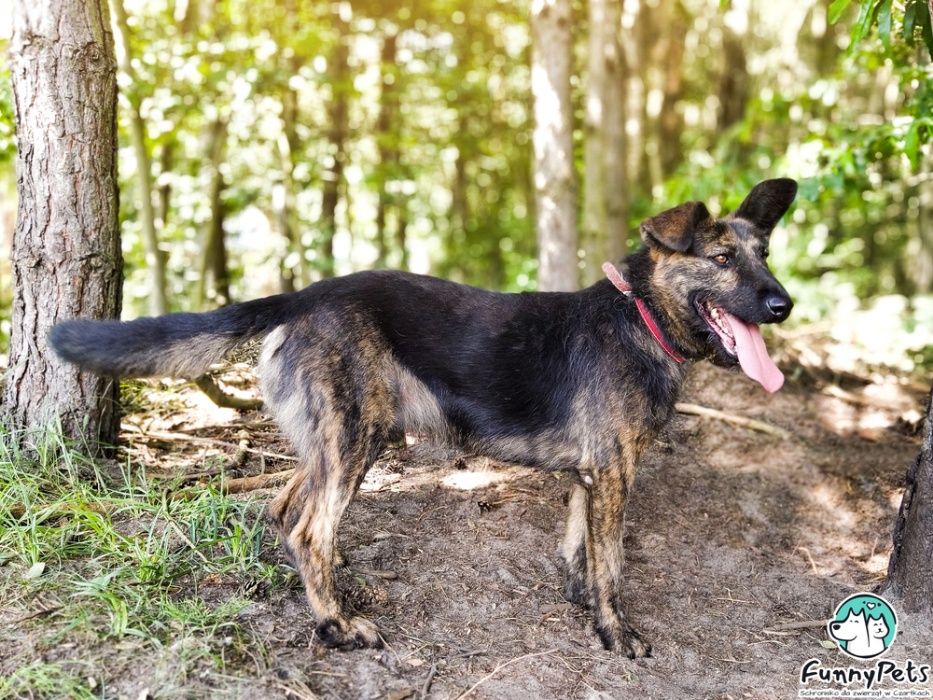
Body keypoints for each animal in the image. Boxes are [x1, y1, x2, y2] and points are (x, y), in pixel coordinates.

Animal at [49, 178, 792, 660]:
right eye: (721, 260)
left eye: (764, 256)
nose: (783, 304)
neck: (639, 316)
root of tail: (303, 295)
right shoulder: (613, 473)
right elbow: (611, 565)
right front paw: (614, 633)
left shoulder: (589, 476)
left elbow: (579, 548)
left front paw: (579, 599)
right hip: (355, 437)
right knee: (308, 530)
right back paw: (338, 626)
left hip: (343, 438)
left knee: (288, 510)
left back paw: (331, 586)